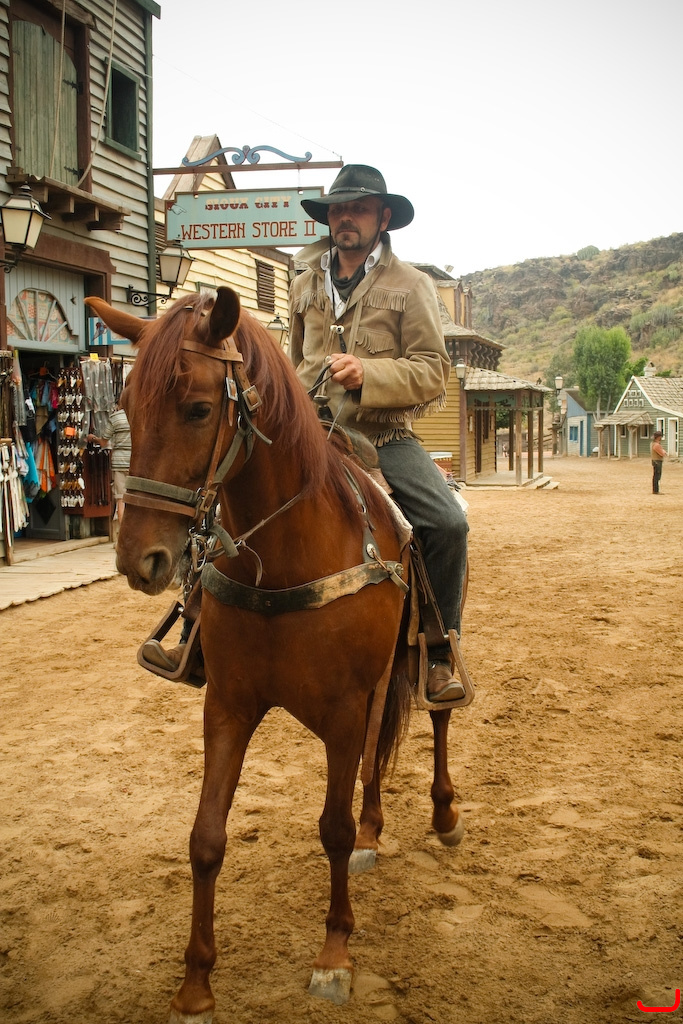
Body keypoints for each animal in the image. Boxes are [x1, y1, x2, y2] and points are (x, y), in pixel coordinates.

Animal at [85, 287, 467, 1022]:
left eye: (198, 408)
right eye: (127, 405)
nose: (139, 560)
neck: (288, 552)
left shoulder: (342, 711)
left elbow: (331, 828)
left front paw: (334, 956)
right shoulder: (229, 706)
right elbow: (206, 837)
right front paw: (196, 982)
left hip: (420, 655)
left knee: (435, 716)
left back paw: (443, 813)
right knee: (376, 759)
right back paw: (377, 831)